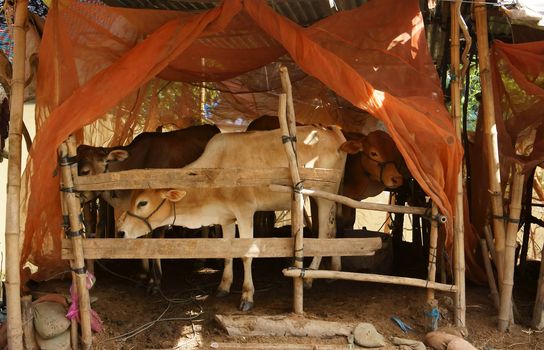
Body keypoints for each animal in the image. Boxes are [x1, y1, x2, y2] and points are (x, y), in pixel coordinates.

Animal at [77, 124, 221, 292]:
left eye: (85, 172)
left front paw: (155, 281)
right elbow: (143, 237)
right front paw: (143, 274)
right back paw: (200, 260)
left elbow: (155, 239)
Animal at [118, 126, 348, 312]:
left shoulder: (245, 211)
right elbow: (228, 251)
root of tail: (332, 131)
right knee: (332, 231)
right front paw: (223, 286)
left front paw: (247, 296)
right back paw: (333, 269)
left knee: (324, 233)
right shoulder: (226, 217)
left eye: (143, 203)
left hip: (323, 195)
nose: (121, 231)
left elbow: (246, 254)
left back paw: (309, 276)